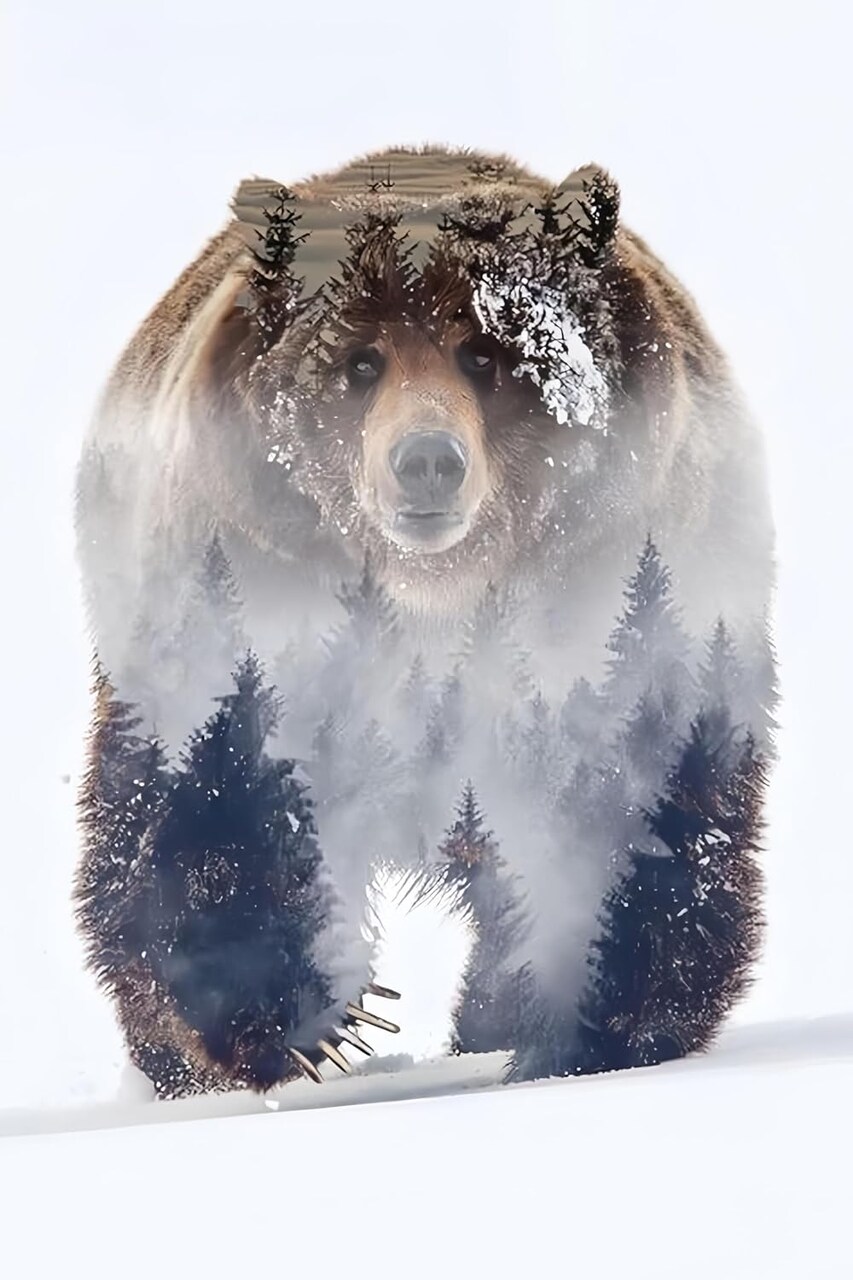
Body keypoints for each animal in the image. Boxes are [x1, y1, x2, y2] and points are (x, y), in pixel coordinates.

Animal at [74, 145, 776, 1097]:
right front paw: (309, 1021)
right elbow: (214, 789)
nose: (428, 462)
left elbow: (640, 815)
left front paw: (598, 1022)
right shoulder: (245, 604)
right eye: (359, 362)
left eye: (482, 350)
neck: (434, 601)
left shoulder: (620, 620)